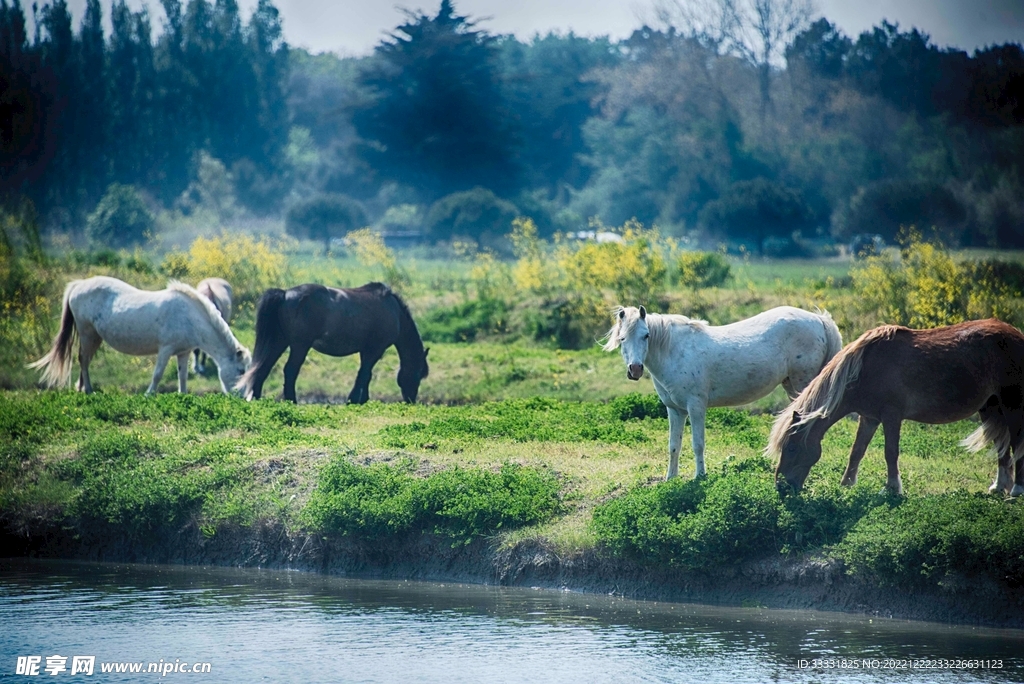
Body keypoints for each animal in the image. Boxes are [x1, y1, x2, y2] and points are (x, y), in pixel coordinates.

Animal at [30, 276, 251, 395]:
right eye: (241, 370)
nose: (242, 397)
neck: (189, 315)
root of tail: (79, 284)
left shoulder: (184, 352)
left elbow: (183, 376)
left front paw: (183, 394)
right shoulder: (166, 349)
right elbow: (158, 374)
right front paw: (148, 394)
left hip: (95, 338)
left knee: (86, 360)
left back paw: (82, 388)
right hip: (87, 334)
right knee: (83, 360)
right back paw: (89, 390)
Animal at [236, 282, 429, 404]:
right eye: (418, 374)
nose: (411, 399)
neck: (394, 312)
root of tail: (284, 294)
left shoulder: (366, 351)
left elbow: (365, 374)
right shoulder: (375, 350)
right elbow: (365, 374)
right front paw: (354, 400)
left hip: (279, 342)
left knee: (264, 367)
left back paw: (257, 397)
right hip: (300, 345)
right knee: (290, 370)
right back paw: (292, 400)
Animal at [604, 305, 843, 480]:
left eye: (646, 335)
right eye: (622, 338)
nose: (635, 369)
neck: (675, 351)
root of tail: (818, 319)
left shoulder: (696, 407)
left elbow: (698, 444)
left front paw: (700, 476)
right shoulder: (675, 410)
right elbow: (674, 445)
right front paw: (670, 478)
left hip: (803, 384)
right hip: (792, 387)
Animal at [769, 319, 1024, 496]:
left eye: (791, 447)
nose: (781, 486)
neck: (864, 369)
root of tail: (1017, 335)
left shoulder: (891, 416)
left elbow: (890, 452)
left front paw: (892, 489)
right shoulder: (869, 418)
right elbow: (856, 451)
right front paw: (846, 485)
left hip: (1012, 404)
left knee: (1016, 442)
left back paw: (1016, 489)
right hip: (990, 407)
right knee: (1001, 445)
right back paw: (999, 486)